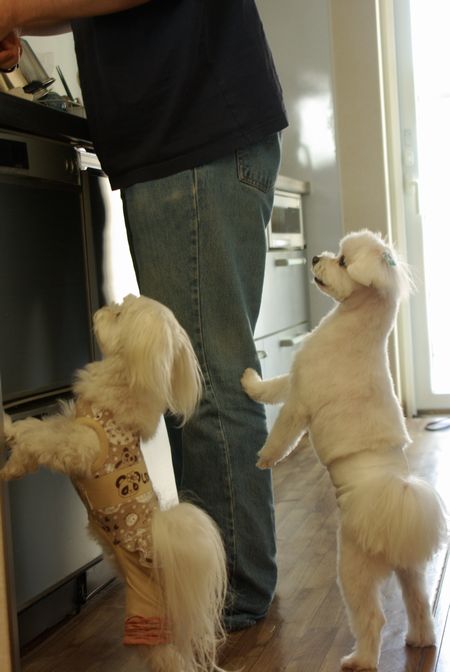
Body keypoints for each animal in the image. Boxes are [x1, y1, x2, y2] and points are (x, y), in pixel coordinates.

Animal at [1, 294, 227, 672]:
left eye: (120, 314)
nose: (102, 309)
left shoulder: (78, 445)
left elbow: (40, 434)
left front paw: (6, 429)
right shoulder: (70, 424)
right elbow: (42, 432)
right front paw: (11, 467)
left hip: (145, 618)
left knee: (170, 660)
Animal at [241, 230, 448, 670]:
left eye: (340, 262)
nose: (314, 256)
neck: (352, 326)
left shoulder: (300, 402)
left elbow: (281, 428)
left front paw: (266, 455)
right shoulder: (296, 380)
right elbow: (275, 386)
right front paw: (251, 381)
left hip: (352, 569)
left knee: (372, 618)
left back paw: (360, 659)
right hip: (410, 570)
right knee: (419, 604)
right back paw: (421, 641)